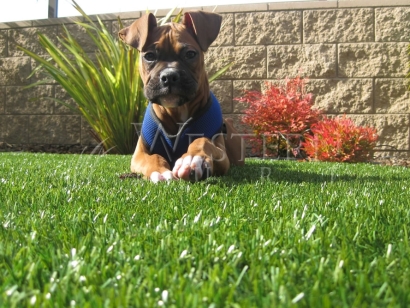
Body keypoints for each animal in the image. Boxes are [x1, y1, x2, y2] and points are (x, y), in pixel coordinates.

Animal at [118, 10, 243, 182]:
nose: (169, 76)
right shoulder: (139, 155)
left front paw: (193, 159)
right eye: (149, 56)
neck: (177, 111)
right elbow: (153, 157)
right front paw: (160, 171)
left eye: (190, 54)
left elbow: (202, 141)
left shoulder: (221, 154)